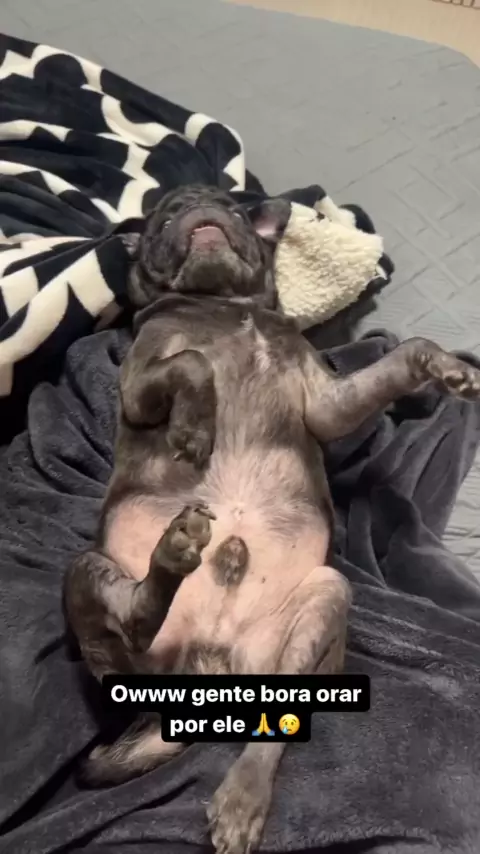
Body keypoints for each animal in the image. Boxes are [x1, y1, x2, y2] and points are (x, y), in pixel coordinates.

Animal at [64, 184, 480, 854]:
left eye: (232, 208)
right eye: (160, 220)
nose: (196, 206)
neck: (229, 308)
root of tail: (207, 679)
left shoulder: (328, 402)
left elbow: (407, 354)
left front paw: (448, 369)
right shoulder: (141, 382)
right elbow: (193, 363)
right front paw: (193, 426)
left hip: (321, 605)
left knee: (272, 731)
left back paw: (242, 798)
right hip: (88, 577)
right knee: (132, 624)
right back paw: (172, 554)